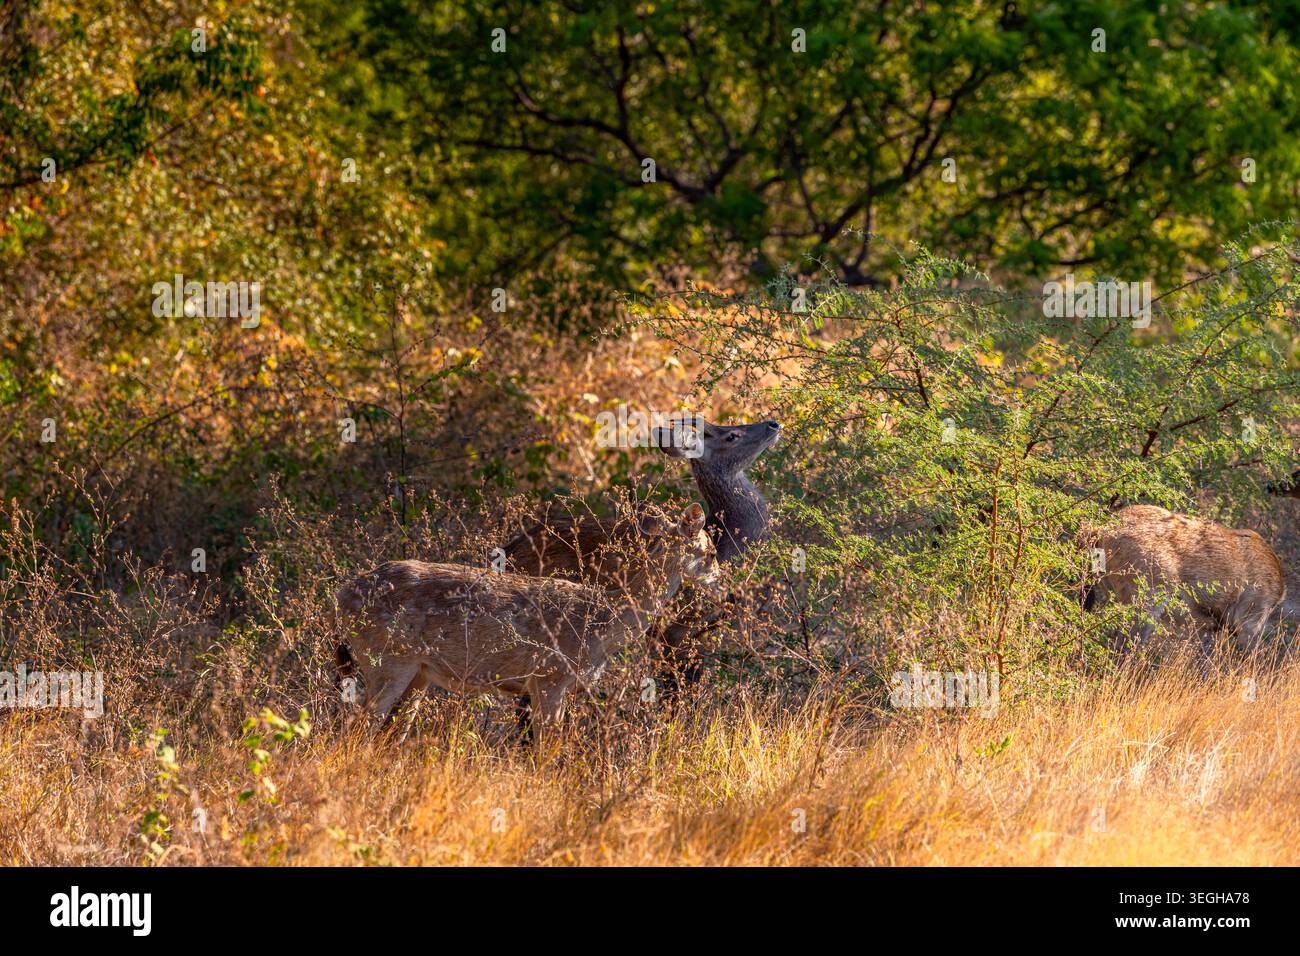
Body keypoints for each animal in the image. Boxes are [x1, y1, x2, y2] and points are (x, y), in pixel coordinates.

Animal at [335, 503, 723, 747]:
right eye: (710, 552)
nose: (721, 580)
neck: (601, 626)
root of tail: (342, 598)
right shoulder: (549, 677)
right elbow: (545, 751)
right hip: (388, 660)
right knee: (357, 729)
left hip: (419, 673)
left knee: (389, 733)